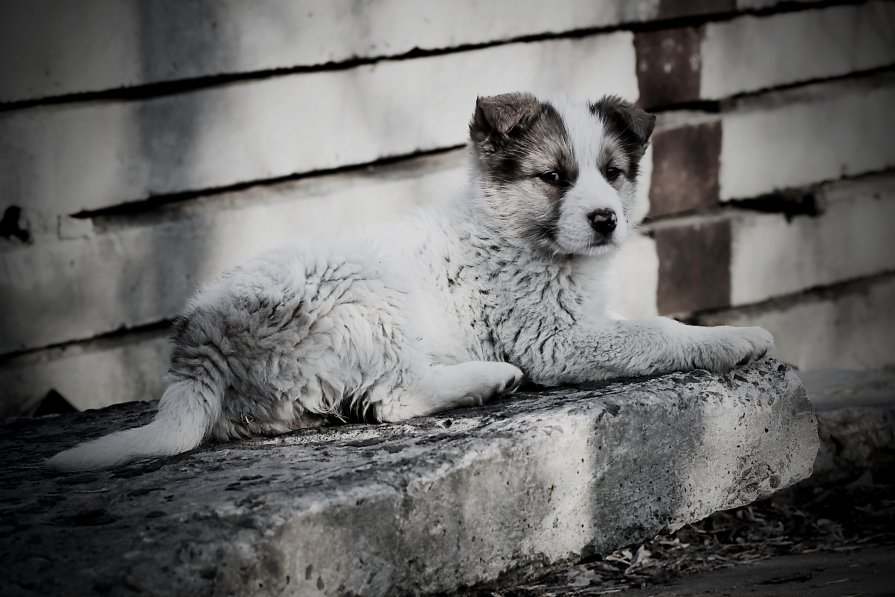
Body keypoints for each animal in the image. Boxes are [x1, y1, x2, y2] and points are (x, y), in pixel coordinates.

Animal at [49, 93, 772, 470]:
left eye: (614, 172)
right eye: (552, 177)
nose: (605, 219)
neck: (514, 233)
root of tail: (198, 346)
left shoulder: (579, 320)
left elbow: (636, 322)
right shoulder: (552, 339)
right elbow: (655, 331)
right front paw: (734, 336)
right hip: (365, 293)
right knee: (394, 397)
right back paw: (487, 379)